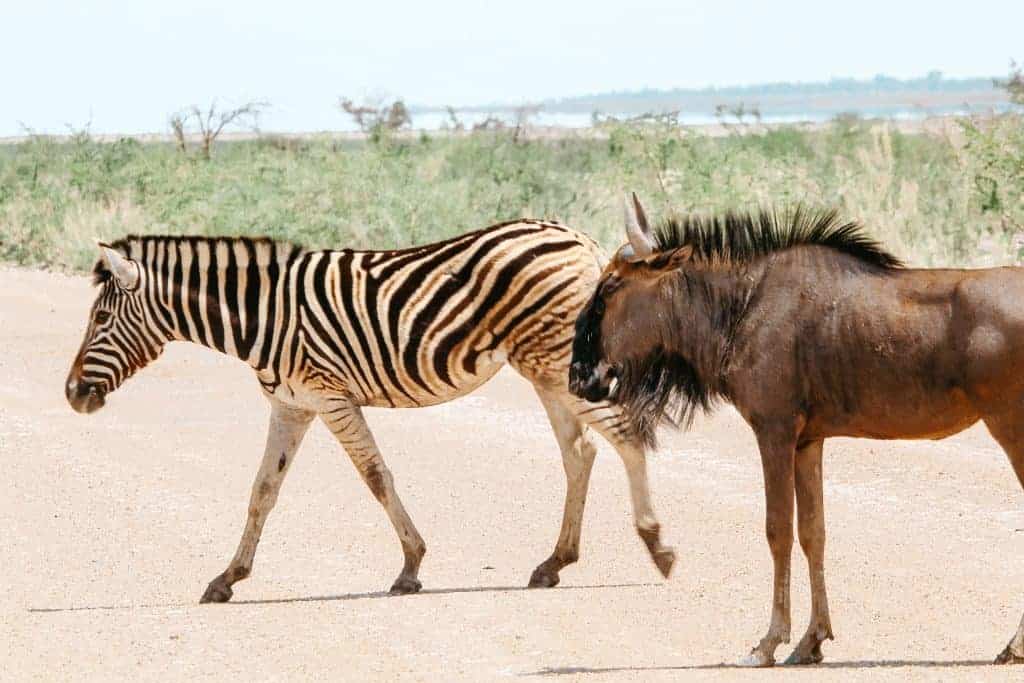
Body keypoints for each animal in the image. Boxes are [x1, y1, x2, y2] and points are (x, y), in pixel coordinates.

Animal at [61, 220, 671, 602]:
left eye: (99, 319)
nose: (70, 394)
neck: (262, 317)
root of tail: (580, 239)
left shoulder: (331, 397)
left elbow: (375, 476)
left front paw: (411, 566)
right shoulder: (291, 406)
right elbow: (262, 491)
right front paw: (228, 577)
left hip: (554, 359)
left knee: (622, 435)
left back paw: (657, 545)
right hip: (546, 367)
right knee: (580, 451)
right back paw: (554, 563)